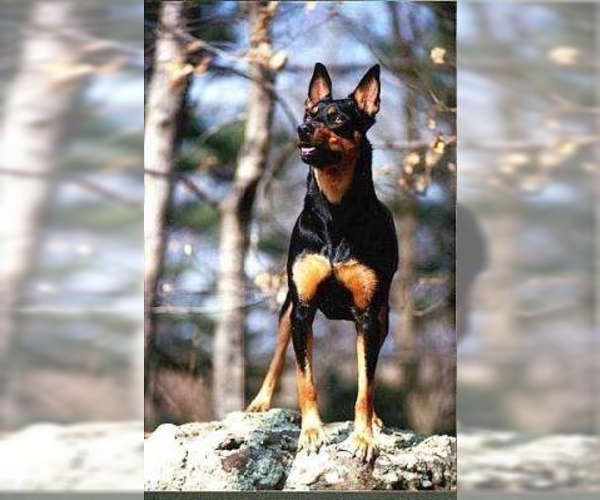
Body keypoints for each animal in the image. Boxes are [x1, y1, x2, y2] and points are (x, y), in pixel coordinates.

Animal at [246, 63, 396, 464]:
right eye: (309, 113)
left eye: (338, 118)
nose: (303, 129)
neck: (335, 211)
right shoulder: (303, 308)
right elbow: (304, 379)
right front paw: (311, 433)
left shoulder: (367, 313)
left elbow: (365, 384)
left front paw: (363, 438)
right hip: (288, 311)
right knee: (279, 356)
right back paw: (259, 403)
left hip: (382, 317)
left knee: (369, 371)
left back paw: (376, 420)